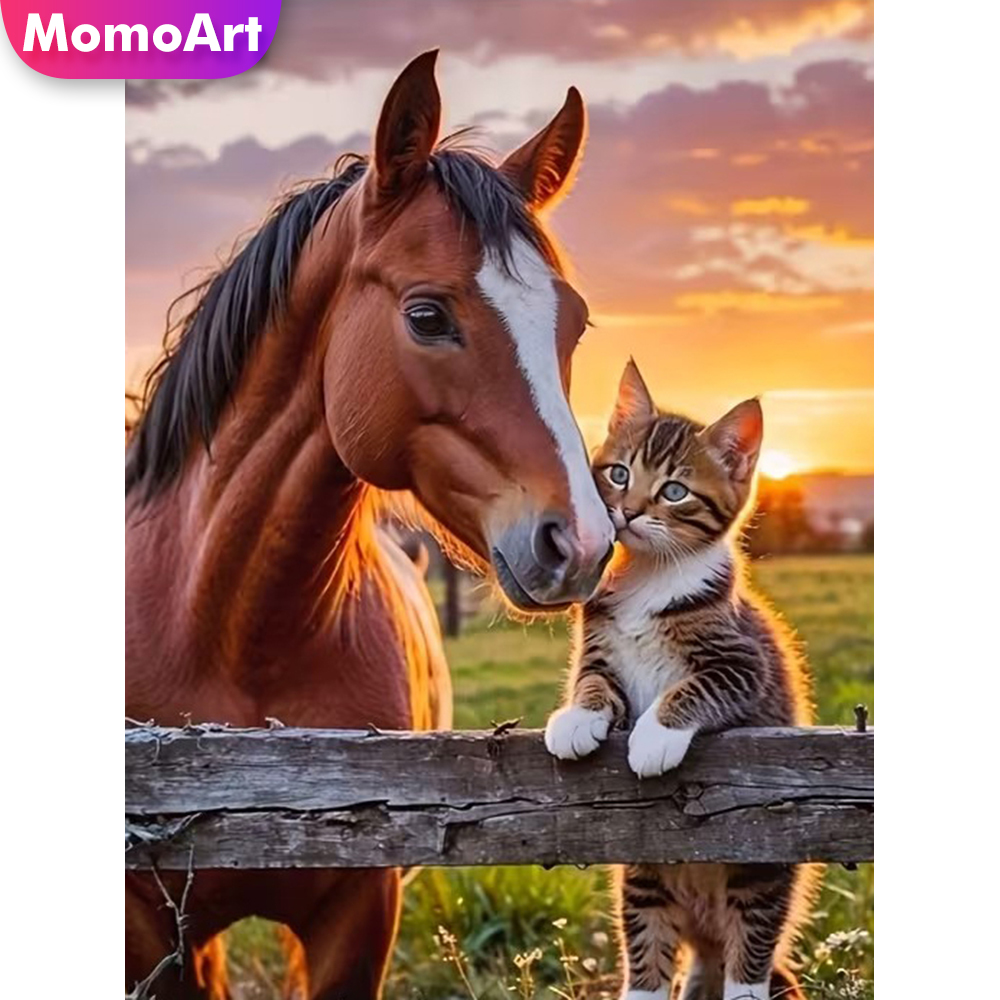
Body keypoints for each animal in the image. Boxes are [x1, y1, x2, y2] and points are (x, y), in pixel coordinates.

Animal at [125, 50, 614, 999]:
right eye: (427, 315)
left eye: (573, 325)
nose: (579, 542)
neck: (229, 635)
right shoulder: (152, 933)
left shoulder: (361, 910)